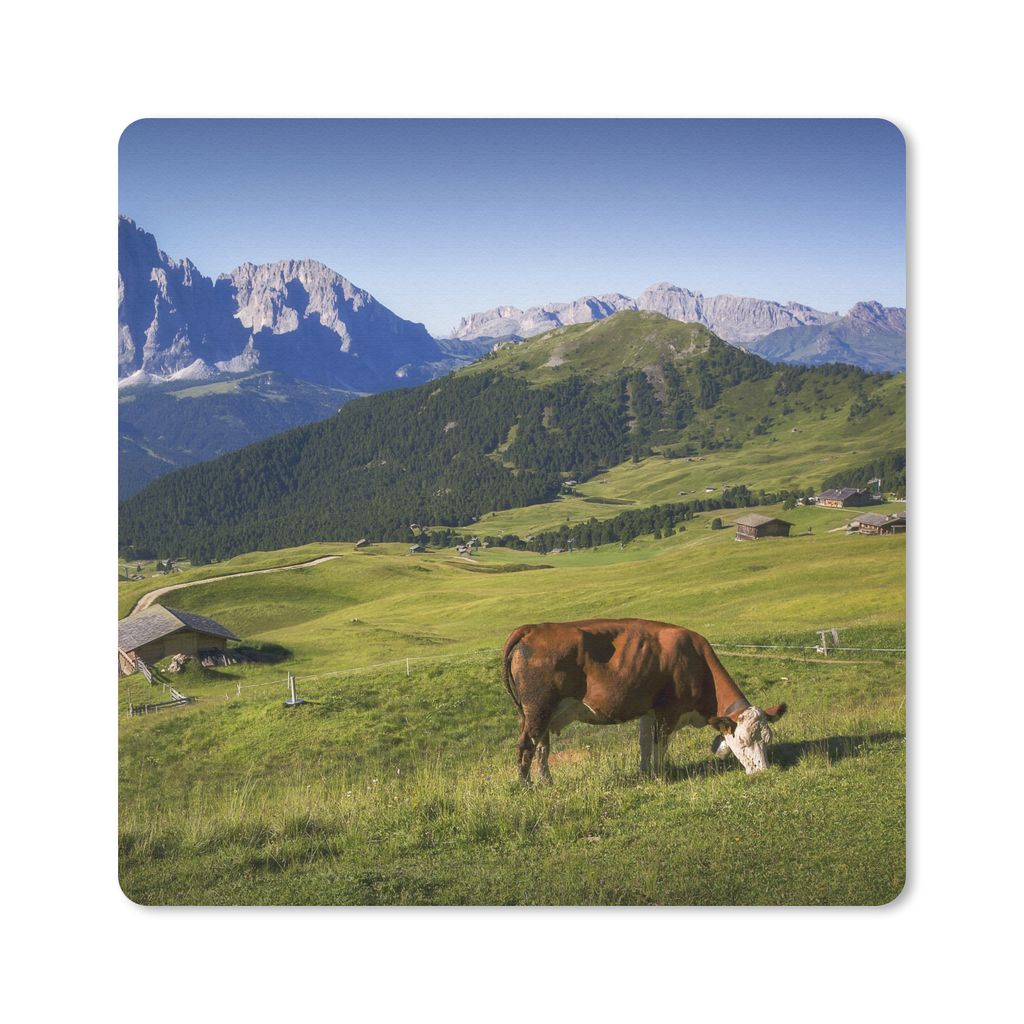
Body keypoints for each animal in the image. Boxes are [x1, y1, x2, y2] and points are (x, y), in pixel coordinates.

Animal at [501, 618, 787, 782]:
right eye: (743, 741)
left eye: (768, 740)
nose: (764, 771)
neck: (695, 659)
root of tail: (532, 629)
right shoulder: (668, 711)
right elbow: (660, 745)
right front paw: (660, 776)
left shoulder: (649, 710)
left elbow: (644, 743)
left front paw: (644, 773)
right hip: (539, 708)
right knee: (526, 747)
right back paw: (527, 787)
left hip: (536, 713)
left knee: (541, 747)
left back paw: (546, 782)